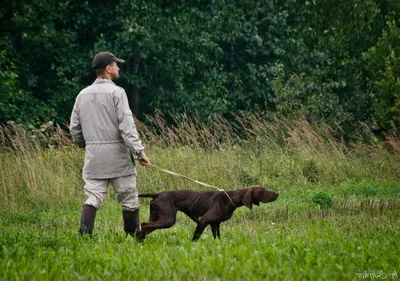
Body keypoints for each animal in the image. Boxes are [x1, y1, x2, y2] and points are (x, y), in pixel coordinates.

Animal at [138, 184, 278, 241]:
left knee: (145, 227)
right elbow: (195, 238)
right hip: (168, 220)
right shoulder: (203, 221)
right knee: (144, 225)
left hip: (158, 217)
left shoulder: (215, 224)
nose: (277, 193)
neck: (230, 198)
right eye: (262, 191)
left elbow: (218, 238)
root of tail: (158, 194)